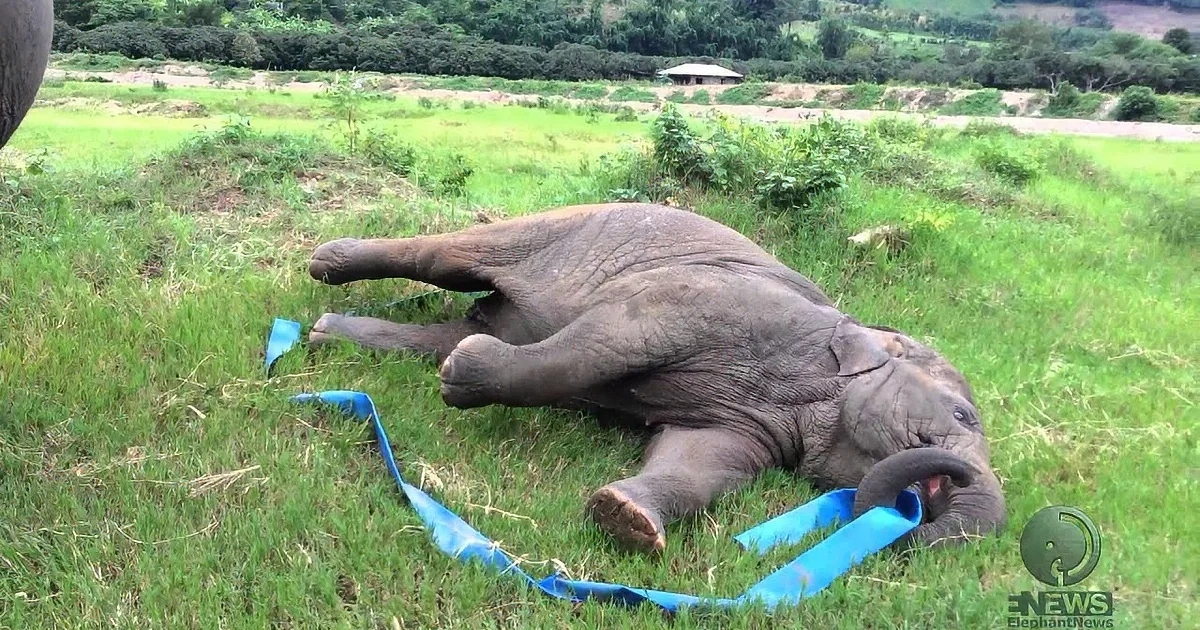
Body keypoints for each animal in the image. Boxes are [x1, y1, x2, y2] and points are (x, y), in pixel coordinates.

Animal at [306, 203, 1007, 553]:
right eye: (964, 415)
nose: (949, 477)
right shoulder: (704, 299)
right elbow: (605, 341)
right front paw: (463, 378)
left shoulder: (756, 422)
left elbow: (704, 460)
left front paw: (625, 517)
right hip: (550, 229)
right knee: (443, 257)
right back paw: (328, 265)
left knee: (440, 332)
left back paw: (324, 334)